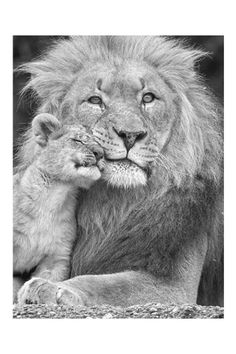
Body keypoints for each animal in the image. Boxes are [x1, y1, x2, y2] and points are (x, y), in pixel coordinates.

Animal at [15, 36, 223, 306]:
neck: (112, 203)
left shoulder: (177, 287)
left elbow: (105, 284)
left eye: (148, 98)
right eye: (95, 100)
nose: (130, 135)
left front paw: (52, 288)